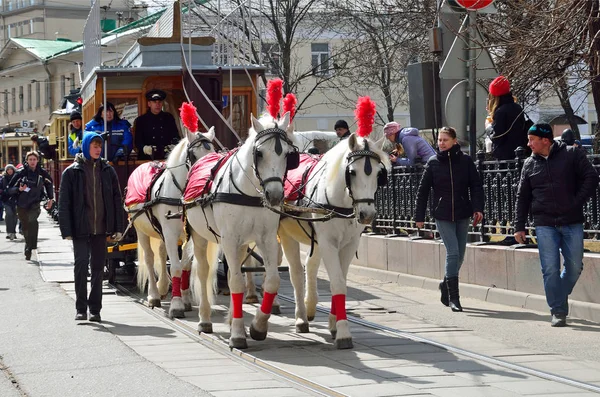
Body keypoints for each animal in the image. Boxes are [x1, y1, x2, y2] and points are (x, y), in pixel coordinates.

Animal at [125, 102, 214, 316]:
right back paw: (154, 294)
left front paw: (185, 298)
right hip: (141, 230)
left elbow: (185, 265)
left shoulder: (189, 233)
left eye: (214, 152)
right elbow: (175, 266)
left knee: (162, 251)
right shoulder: (171, 232)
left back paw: (164, 286)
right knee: (150, 259)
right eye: (194, 155)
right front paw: (176, 304)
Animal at [185, 79, 298, 348]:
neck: (248, 192)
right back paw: (205, 319)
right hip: (201, 236)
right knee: (203, 271)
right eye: (259, 153)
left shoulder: (266, 239)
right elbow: (234, 280)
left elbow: (272, 280)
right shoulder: (229, 238)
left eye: (288, 154)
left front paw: (257, 325)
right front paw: (237, 333)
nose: (275, 195)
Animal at [278, 95, 392, 346]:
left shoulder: (347, 244)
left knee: (310, 266)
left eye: (378, 174)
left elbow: (340, 281)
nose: (367, 215)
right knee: (296, 273)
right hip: (286, 236)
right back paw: (300, 317)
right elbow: (337, 281)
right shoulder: (328, 243)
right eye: (352, 172)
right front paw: (343, 332)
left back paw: (310, 307)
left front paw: (333, 323)